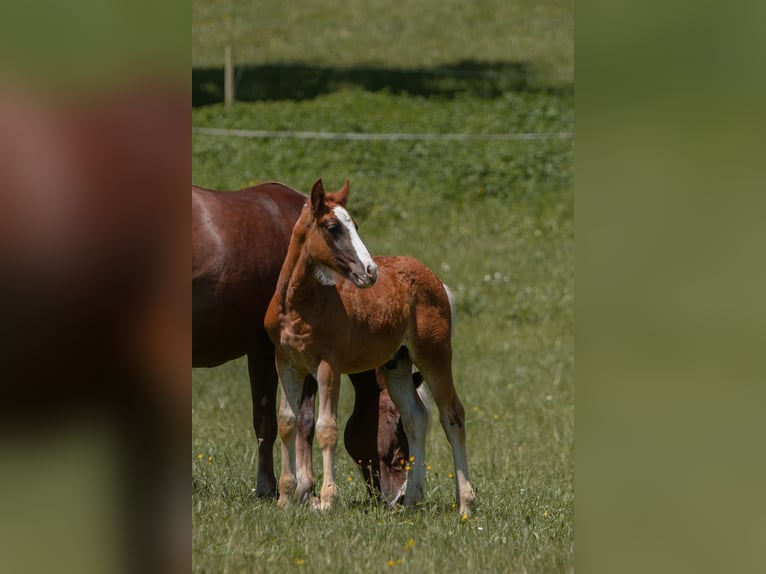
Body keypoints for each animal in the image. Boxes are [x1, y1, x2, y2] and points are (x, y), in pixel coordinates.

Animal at [268, 178, 476, 516]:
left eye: (355, 225)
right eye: (332, 227)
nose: (370, 271)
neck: (299, 304)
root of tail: (435, 279)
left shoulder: (328, 364)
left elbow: (327, 427)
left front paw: (328, 500)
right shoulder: (286, 362)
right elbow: (287, 421)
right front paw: (286, 498)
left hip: (434, 354)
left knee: (453, 416)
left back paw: (466, 505)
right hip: (397, 364)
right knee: (416, 416)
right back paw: (413, 499)